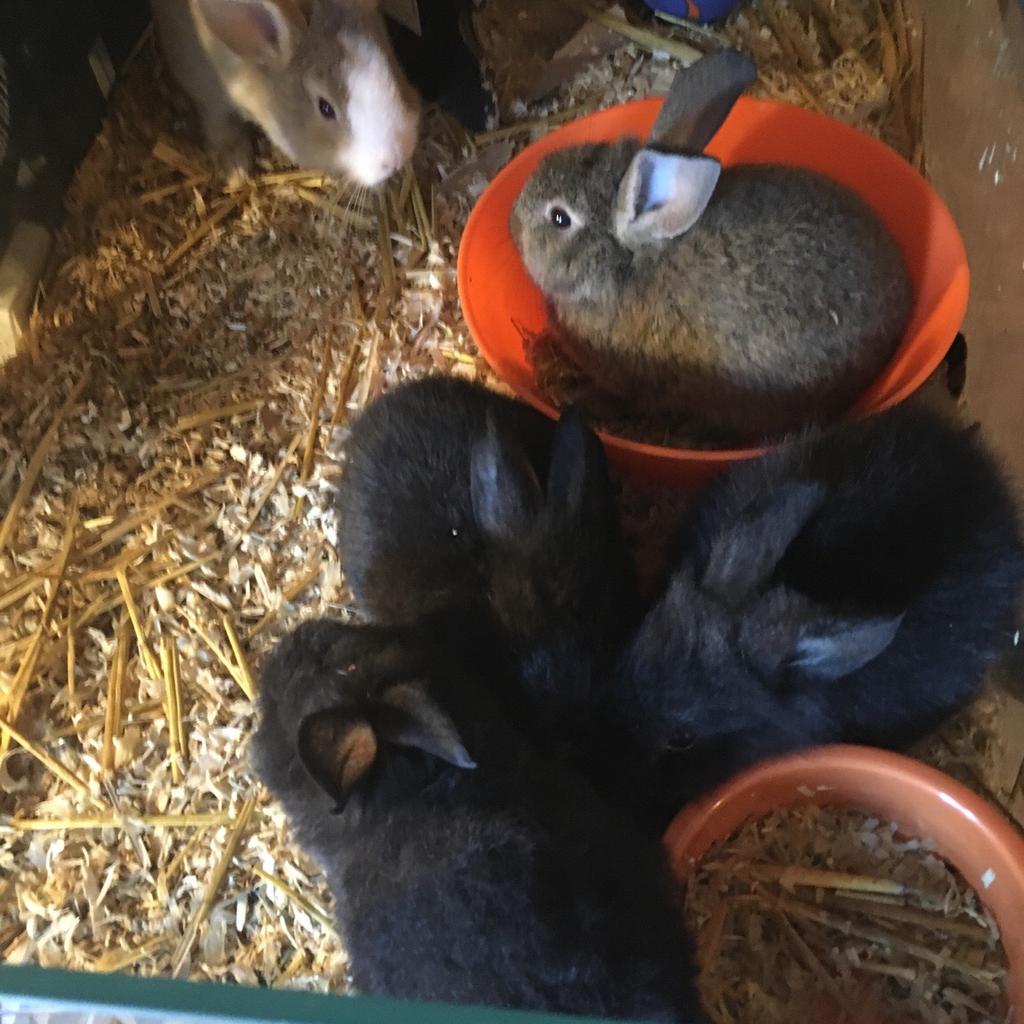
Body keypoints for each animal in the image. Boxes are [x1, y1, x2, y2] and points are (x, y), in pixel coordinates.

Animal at [151, 0, 420, 184]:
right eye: (325, 108)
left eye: (391, 65)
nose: (398, 158)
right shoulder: (207, 90)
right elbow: (219, 125)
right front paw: (236, 168)